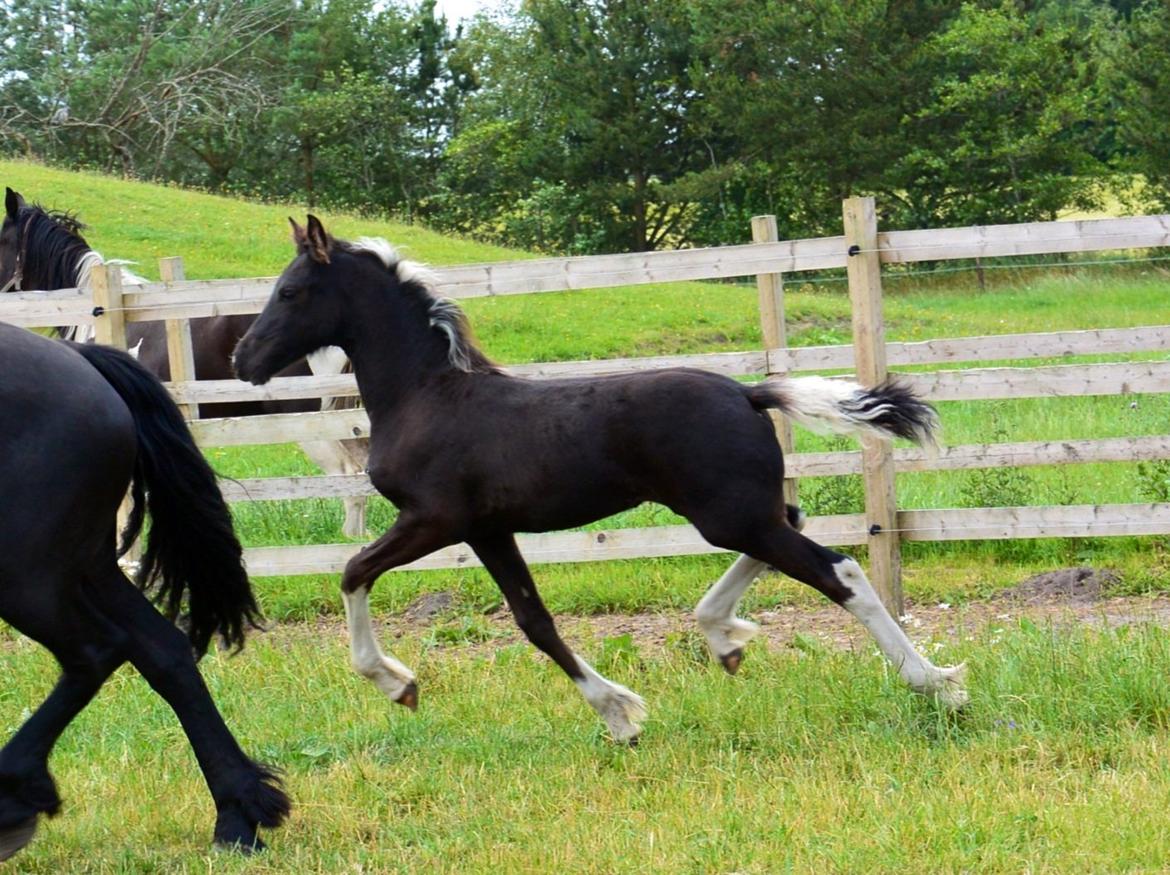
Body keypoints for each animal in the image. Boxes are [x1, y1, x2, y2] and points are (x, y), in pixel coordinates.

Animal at [0, 322, 290, 860]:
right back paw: (237, 816)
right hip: (83, 565)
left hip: (26, 574)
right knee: (164, 652)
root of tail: (78, 357)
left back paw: (14, 792)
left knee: (97, 652)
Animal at [232, 215, 964, 743]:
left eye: (290, 290)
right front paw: (619, 714)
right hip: (734, 512)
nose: (244, 359)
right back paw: (723, 636)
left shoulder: (434, 519)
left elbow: (353, 570)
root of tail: (749, 392)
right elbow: (534, 620)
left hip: (728, 513)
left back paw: (936, 681)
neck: (425, 395)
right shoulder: (488, 529)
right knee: (793, 524)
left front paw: (396, 683)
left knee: (839, 568)